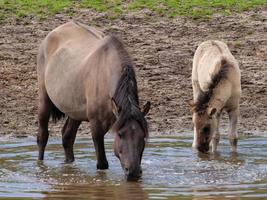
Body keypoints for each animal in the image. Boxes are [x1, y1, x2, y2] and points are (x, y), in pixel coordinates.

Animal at [36, 21, 151, 180]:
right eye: (120, 135)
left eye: (143, 136)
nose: (133, 172)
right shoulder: (96, 126)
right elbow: (102, 164)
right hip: (44, 100)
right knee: (43, 137)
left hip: (75, 111)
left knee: (67, 138)